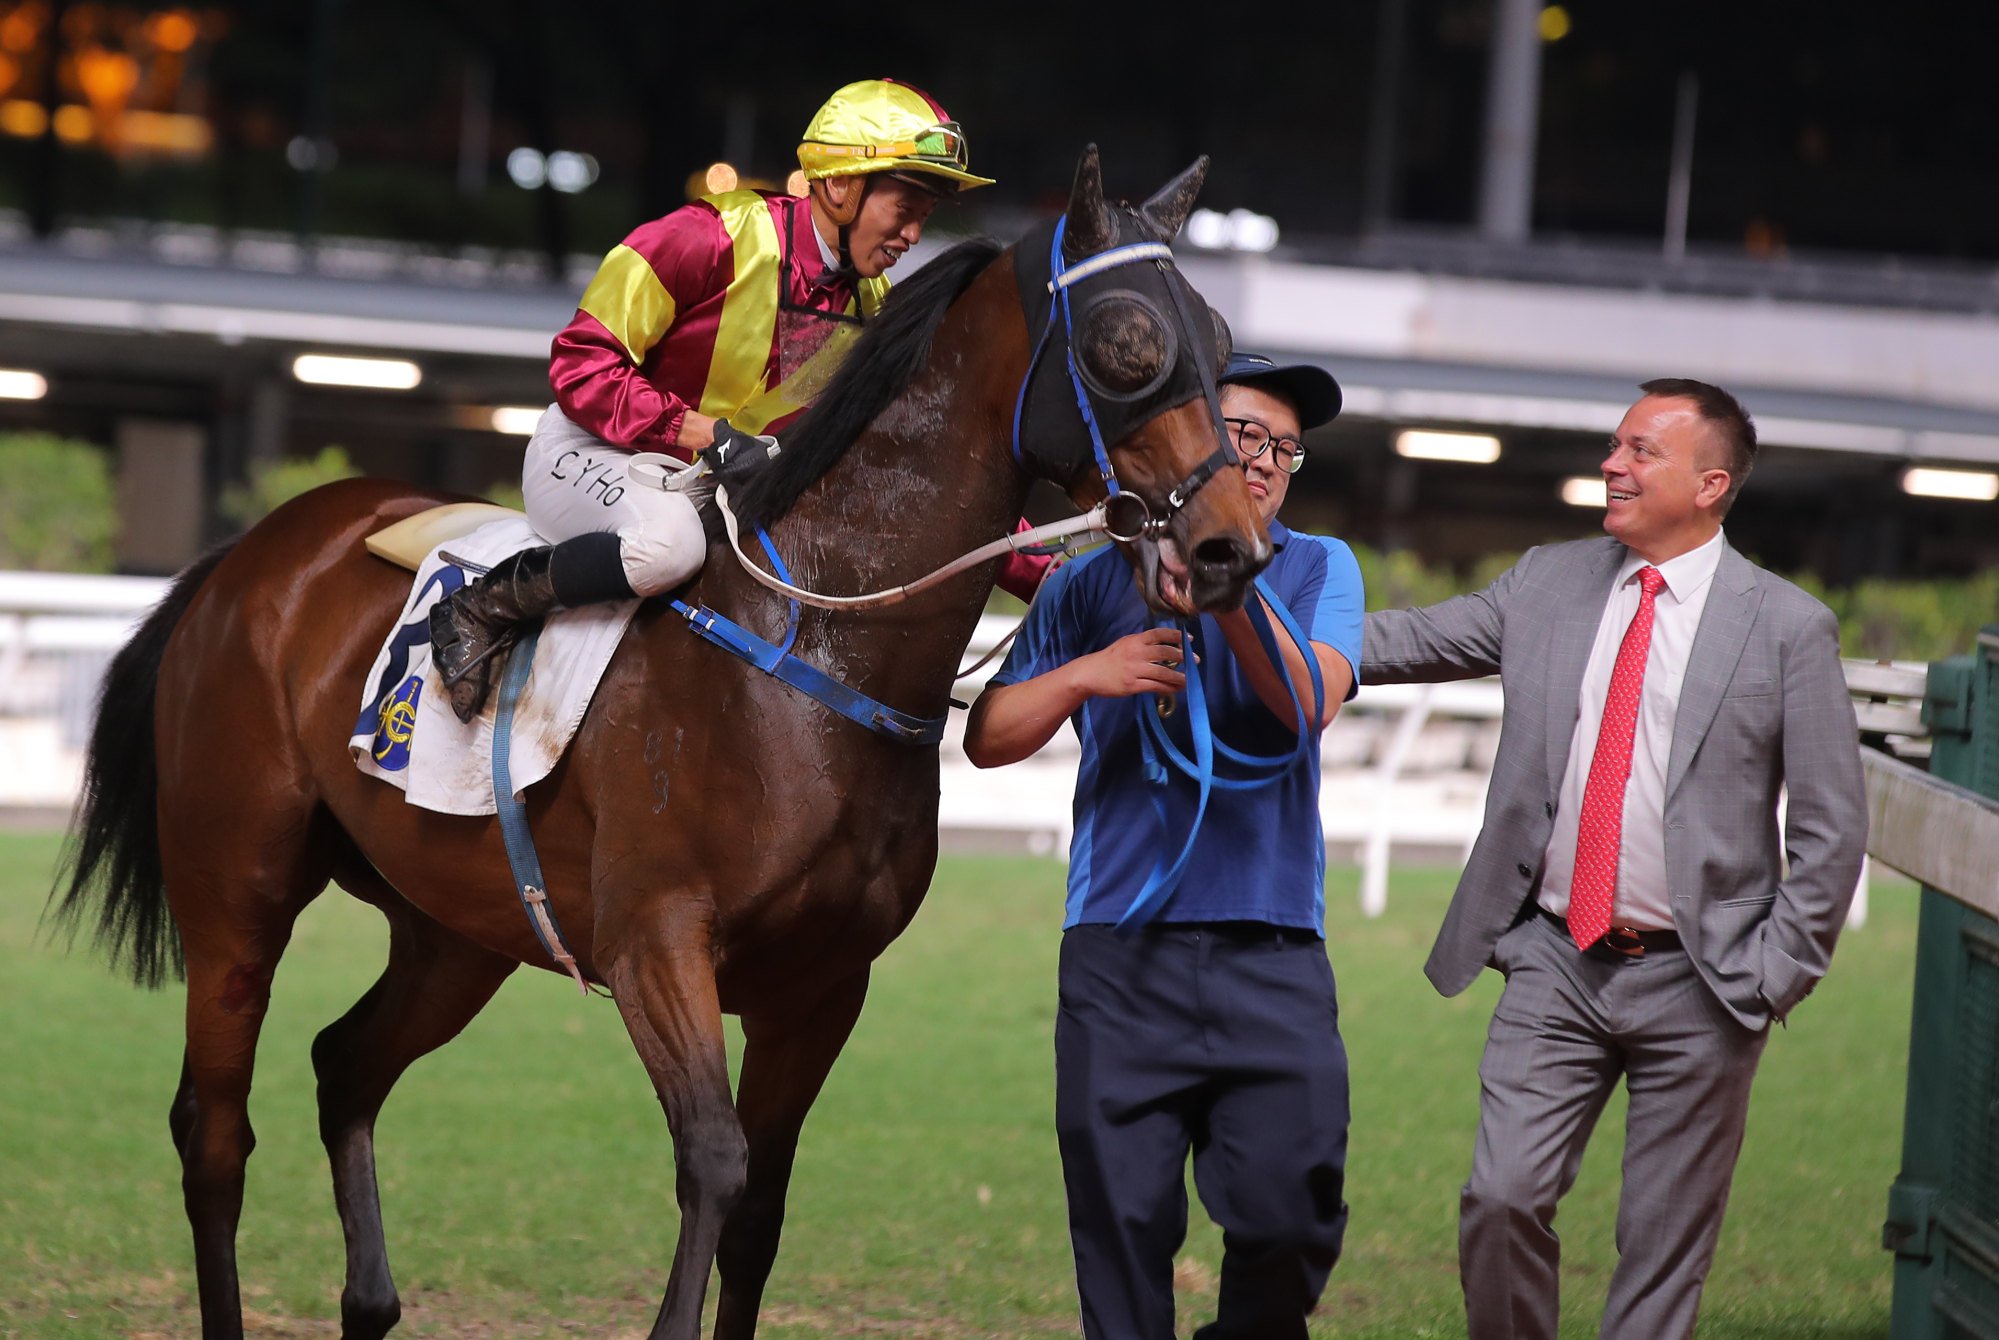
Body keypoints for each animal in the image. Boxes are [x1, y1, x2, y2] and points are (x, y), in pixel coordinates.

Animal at [54, 147, 1271, 1340]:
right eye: (1126, 345)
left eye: (1219, 343)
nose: (1230, 548)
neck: (811, 653)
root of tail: (249, 552)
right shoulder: (657, 941)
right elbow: (716, 1160)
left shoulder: (823, 983)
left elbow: (763, 1205)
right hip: (236, 889)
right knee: (215, 1131)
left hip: (455, 929)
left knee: (344, 1065)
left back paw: (370, 1299)